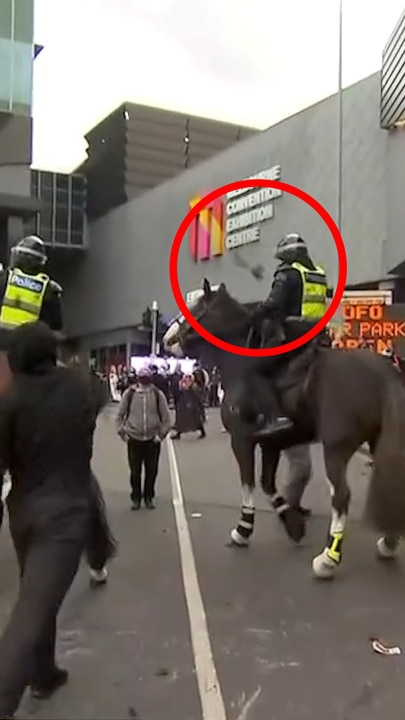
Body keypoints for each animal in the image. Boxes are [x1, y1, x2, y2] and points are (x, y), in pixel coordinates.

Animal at [162, 280, 405, 580]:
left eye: (194, 307)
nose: (167, 338)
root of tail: (383, 372)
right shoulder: (271, 444)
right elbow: (268, 484)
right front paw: (293, 525)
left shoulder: (241, 440)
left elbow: (248, 483)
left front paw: (243, 530)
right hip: (377, 442)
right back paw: (388, 542)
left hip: (336, 447)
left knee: (341, 497)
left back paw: (328, 559)